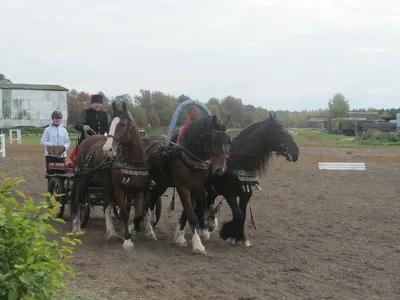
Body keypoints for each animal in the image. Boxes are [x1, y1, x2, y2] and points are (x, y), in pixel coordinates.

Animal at [71, 102, 154, 250]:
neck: (132, 162)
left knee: (106, 206)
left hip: (107, 184)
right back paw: (76, 226)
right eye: (110, 125)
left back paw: (111, 233)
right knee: (78, 200)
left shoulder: (139, 190)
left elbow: (138, 214)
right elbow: (124, 214)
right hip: (81, 179)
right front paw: (127, 240)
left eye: (123, 124)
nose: (107, 150)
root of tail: (86, 141)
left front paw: (132, 231)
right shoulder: (120, 189)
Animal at [144, 113, 231, 254]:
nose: (220, 169)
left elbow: (191, 212)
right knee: (145, 201)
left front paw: (181, 237)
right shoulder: (183, 187)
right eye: (213, 139)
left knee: (152, 199)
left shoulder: (197, 188)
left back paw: (150, 223)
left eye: (228, 140)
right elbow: (191, 214)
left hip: (161, 183)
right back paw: (149, 230)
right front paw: (197, 244)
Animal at [179, 112, 300, 246]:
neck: (239, 159)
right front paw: (228, 233)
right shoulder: (228, 193)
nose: (296, 153)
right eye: (280, 132)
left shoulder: (246, 193)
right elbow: (238, 214)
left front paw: (239, 237)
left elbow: (244, 214)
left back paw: (204, 228)